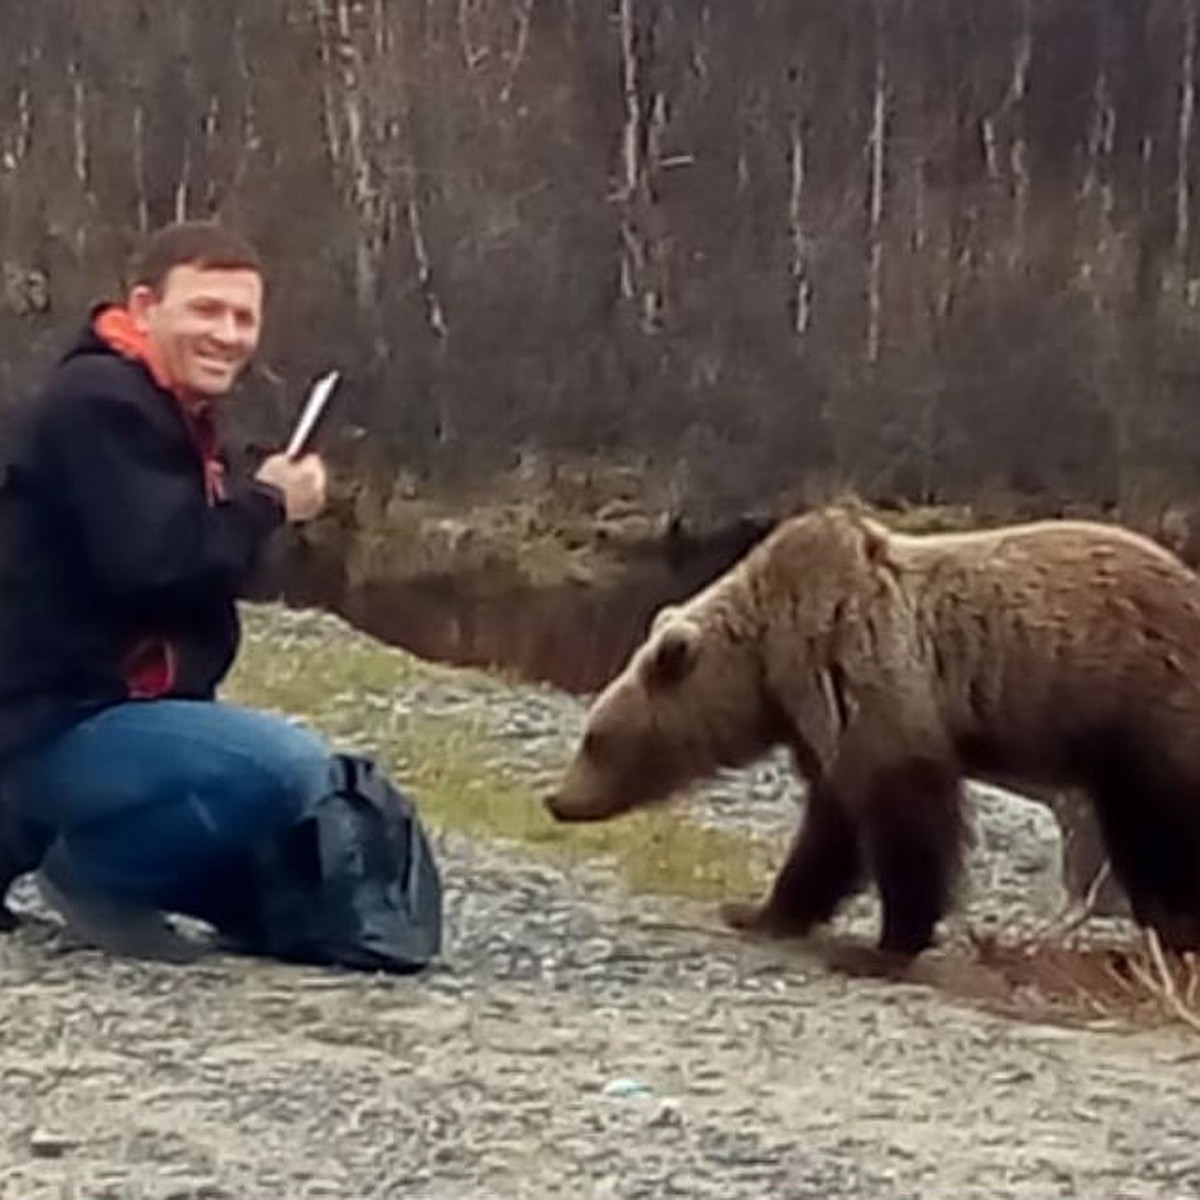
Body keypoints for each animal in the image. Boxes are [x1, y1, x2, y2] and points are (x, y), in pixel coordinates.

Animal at [547, 504, 1200, 964]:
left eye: (593, 737)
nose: (557, 799)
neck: (766, 660)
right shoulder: (818, 718)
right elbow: (830, 826)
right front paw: (760, 910)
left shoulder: (863, 671)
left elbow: (900, 812)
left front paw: (890, 939)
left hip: (1146, 704)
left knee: (1161, 822)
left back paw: (1174, 928)